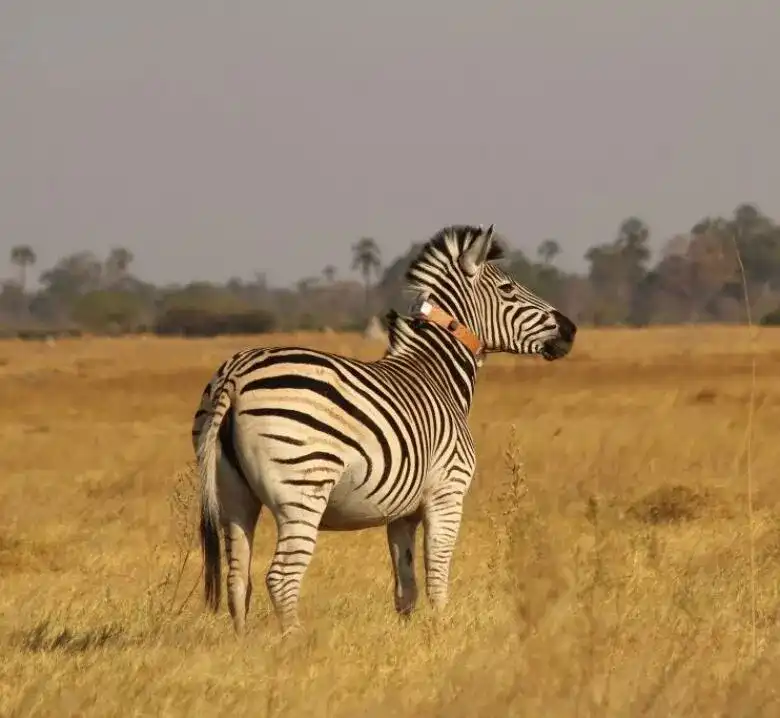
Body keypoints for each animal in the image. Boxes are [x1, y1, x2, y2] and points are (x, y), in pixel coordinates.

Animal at [192, 224, 576, 636]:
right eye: (508, 289)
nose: (571, 330)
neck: (438, 373)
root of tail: (236, 374)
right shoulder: (448, 492)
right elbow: (437, 576)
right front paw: (441, 634)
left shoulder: (402, 512)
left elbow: (406, 585)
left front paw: (410, 637)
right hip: (303, 487)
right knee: (280, 578)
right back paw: (294, 644)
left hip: (233, 495)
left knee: (237, 579)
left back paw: (246, 647)